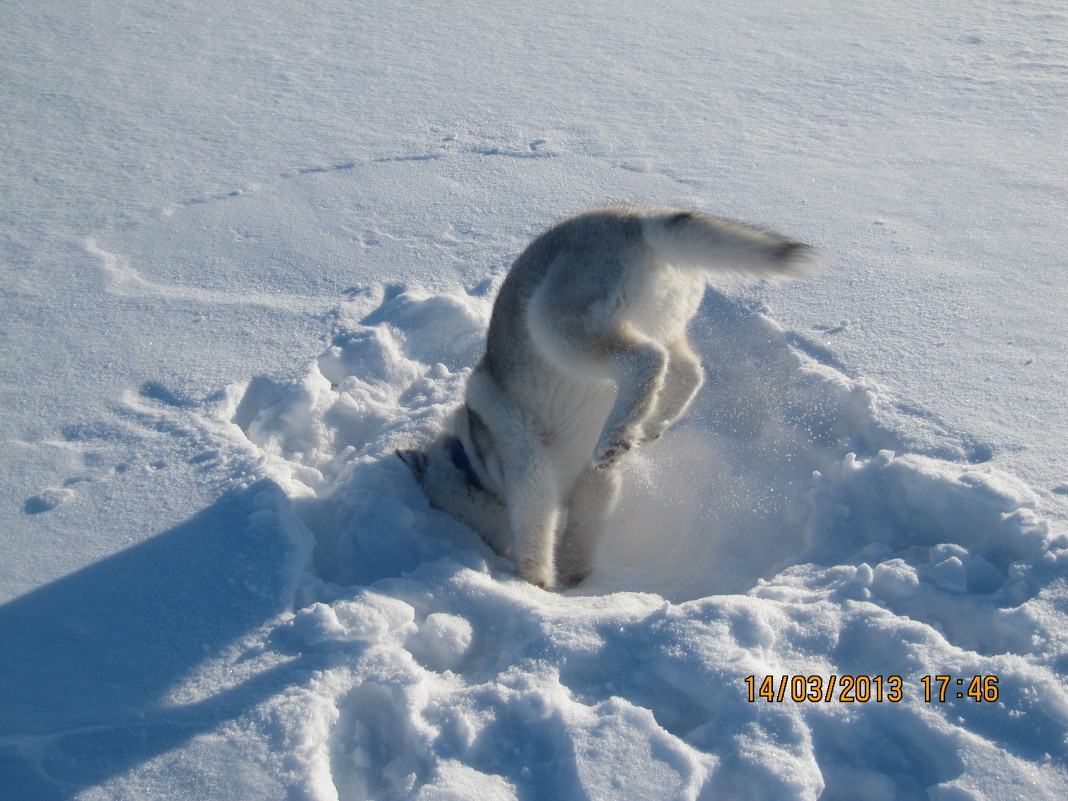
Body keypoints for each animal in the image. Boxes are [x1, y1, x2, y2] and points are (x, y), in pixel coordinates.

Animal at [397, 207, 820, 589]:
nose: (484, 546)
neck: (473, 460)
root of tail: (638, 219)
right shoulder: (596, 483)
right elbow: (582, 532)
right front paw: (575, 577)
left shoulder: (529, 469)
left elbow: (533, 533)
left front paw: (535, 584)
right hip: (665, 324)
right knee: (687, 370)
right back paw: (648, 424)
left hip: (558, 327)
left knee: (646, 359)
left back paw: (618, 433)